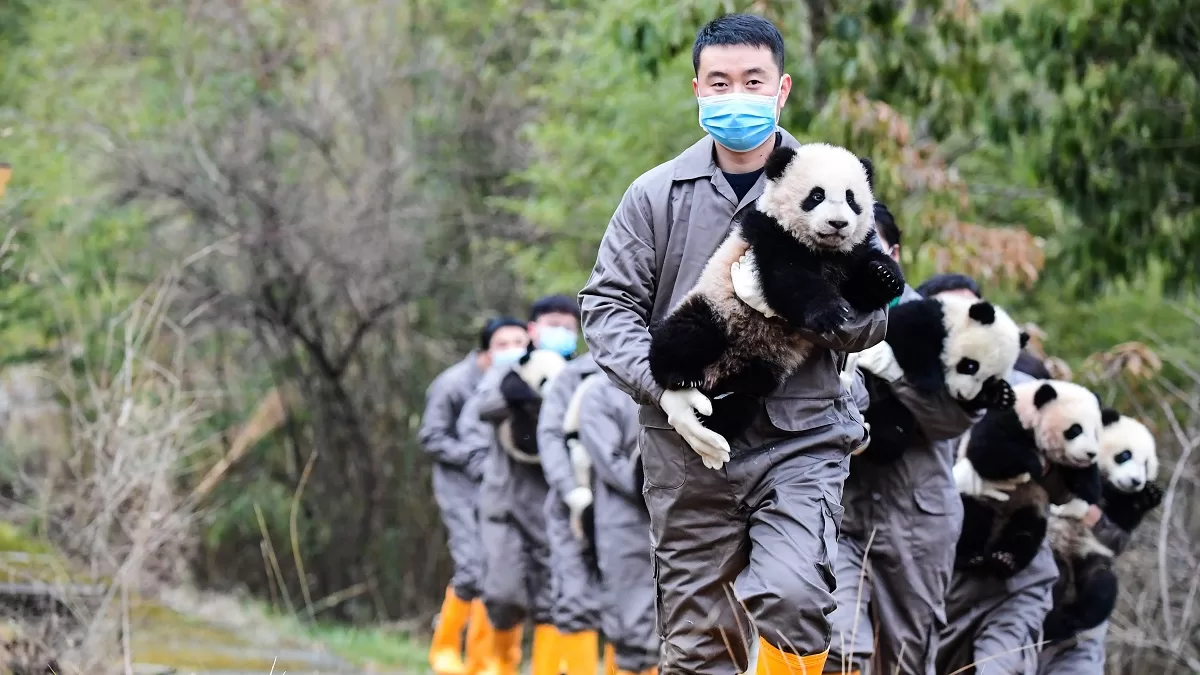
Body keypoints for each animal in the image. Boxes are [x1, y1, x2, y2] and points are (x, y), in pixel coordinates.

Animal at [647, 142, 905, 440]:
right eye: (817, 195)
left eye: (851, 199)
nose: (838, 224)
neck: (823, 250)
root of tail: (714, 375)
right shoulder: (769, 236)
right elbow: (787, 279)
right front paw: (829, 312)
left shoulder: (849, 256)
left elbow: (861, 290)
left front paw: (886, 275)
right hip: (717, 308)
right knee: (687, 333)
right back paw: (681, 377)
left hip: (763, 367)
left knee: (743, 400)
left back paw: (714, 419)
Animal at [852, 293, 1026, 463]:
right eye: (971, 366)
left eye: (990, 379)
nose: (963, 395)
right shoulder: (925, 318)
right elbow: (907, 336)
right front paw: (929, 380)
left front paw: (1001, 395)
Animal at [952, 379, 1105, 579]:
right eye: (1075, 429)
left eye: (1096, 433)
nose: (1091, 453)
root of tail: (1000, 518)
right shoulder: (1006, 418)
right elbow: (986, 451)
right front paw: (1034, 465)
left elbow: (1081, 478)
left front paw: (1089, 489)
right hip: (980, 498)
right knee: (970, 519)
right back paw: (970, 557)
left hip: (1031, 505)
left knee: (1026, 531)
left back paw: (1004, 560)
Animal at [1042, 411, 1163, 641]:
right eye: (1125, 455)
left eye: (1146, 465)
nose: (1136, 481)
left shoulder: (1114, 516)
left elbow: (1121, 524)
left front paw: (1149, 495)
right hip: (1052, 546)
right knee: (1056, 575)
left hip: (1091, 556)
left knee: (1100, 588)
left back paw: (1066, 621)